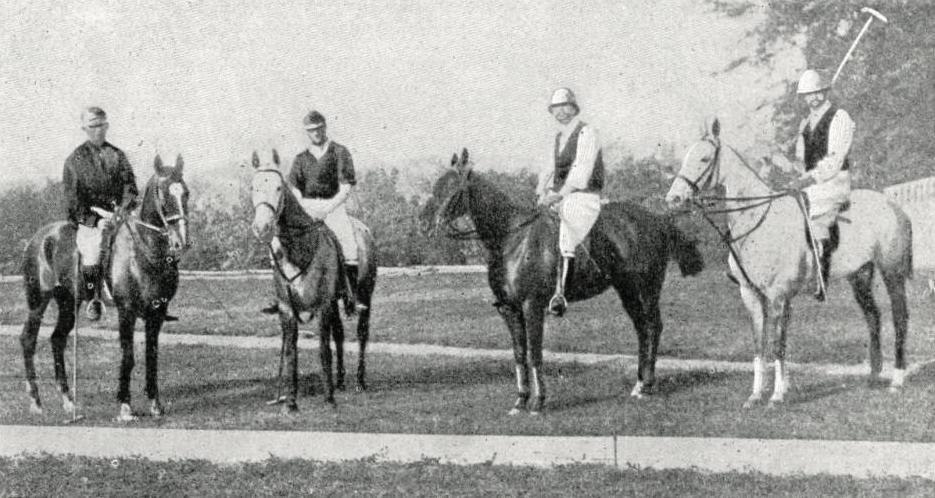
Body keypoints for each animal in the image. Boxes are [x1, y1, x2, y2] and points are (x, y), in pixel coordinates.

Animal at [22, 156, 189, 420]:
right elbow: (128, 356)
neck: (142, 252)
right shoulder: (126, 312)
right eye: (164, 195)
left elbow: (151, 356)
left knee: (57, 340)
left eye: (186, 194)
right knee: (28, 340)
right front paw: (125, 405)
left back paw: (68, 402)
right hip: (38, 302)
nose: (181, 242)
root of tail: (38, 239)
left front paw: (155, 404)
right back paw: (36, 402)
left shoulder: (157, 313)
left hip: (68, 302)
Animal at [252, 150, 380, 410]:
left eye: (278, 187)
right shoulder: (287, 309)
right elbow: (291, 352)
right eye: (253, 187)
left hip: (364, 295)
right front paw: (291, 402)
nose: (261, 227)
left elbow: (323, 349)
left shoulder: (323, 306)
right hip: (336, 301)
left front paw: (328, 398)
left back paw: (359, 381)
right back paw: (340, 381)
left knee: (362, 333)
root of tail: (364, 229)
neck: (299, 250)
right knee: (339, 334)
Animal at [422, 150, 704, 414]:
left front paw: (538, 402)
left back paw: (647, 387)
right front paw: (520, 401)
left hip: (646, 290)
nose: (424, 224)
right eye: (436, 185)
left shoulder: (532, 306)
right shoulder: (509, 310)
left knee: (653, 328)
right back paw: (639, 385)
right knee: (642, 330)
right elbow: (519, 355)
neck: (512, 238)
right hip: (629, 292)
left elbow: (535, 353)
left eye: (453, 189)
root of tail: (659, 220)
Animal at [664, 120, 916, 408]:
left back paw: (897, 380)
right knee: (873, 316)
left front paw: (776, 395)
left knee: (900, 317)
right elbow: (761, 345)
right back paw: (873, 376)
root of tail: (896, 207)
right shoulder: (751, 295)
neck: (757, 221)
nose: (673, 199)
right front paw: (757, 395)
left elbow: (777, 343)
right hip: (860, 275)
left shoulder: (778, 295)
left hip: (892, 272)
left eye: (704, 159)